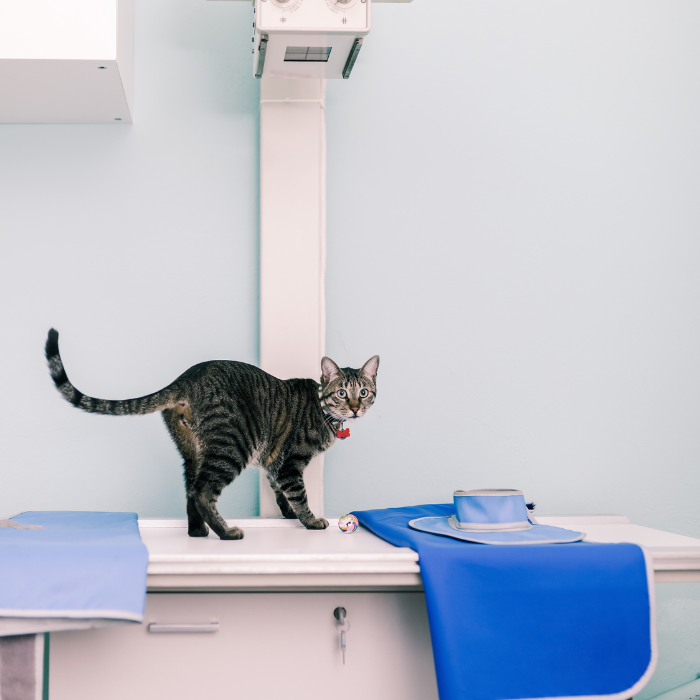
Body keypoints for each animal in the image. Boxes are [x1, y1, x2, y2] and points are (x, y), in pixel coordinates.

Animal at [46, 330, 380, 540]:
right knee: (203, 492)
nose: (354, 408)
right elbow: (297, 493)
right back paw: (226, 533)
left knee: (191, 491)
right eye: (341, 393)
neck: (323, 409)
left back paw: (198, 531)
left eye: (363, 393)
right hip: (232, 446)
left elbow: (279, 490)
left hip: (194, 451)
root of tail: (185, 378)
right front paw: (310, 520)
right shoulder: (290, 462)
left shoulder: (274, 461)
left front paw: (287, 514)